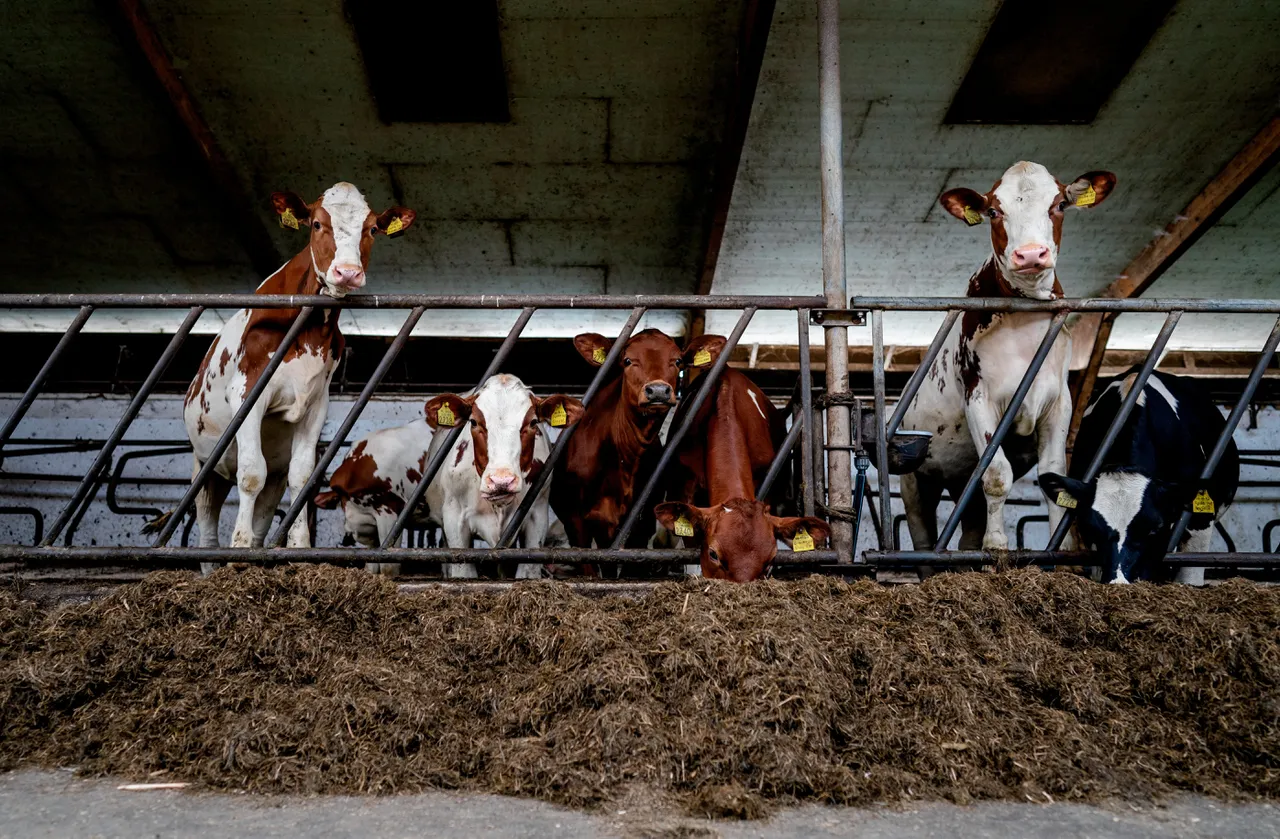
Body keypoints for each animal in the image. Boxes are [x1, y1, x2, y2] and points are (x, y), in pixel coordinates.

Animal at [181, 184, 414, 563]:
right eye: (317, 224)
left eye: (372, 230)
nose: (347, 272)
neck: (311, 331)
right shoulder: (247, 393)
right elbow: (250, 473)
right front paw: (238, 546)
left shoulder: (316, 404)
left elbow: (302, 477)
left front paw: (299, 545)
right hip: (205, 466)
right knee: (206, 529)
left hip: (270, 479)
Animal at [896, 163, 1116, 558]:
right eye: (994, 212)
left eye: (1059, 205)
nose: (1030, 255)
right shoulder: (978, 396)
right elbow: (996, 473)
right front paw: (997, 545)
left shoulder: (1059, 401)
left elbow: (1054, 475)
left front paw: (1060, 548)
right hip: (914, 478)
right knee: (922, 535)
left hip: (961, 485)